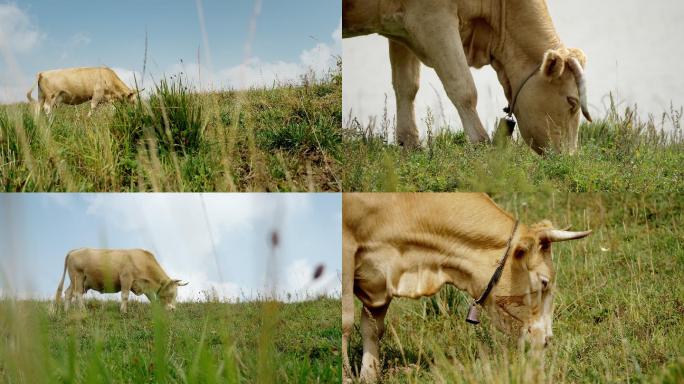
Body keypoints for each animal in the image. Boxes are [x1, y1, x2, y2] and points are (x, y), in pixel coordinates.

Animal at [53, 248, 188, 314]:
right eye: (170, 293)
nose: (173, 309)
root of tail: (75, 250)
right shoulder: (126, 278)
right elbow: (125, 296)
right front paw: (123, 311)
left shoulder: (145, 285)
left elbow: (152, 299)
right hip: (78, 276)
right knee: (78, 294)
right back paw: (83, 310)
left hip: (75, 280)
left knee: (68, 293)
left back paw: (66, 311)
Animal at [342, 1, 592, 154]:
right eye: (572, 102)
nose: (569, 158)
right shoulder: (433, 19)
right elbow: (463, 87)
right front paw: (481, 144)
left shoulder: (399, 28)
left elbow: (406, 86)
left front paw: (410, 144)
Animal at [342, 194, 592, 382]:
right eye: (544, 281)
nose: (547, 339)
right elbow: (346, 324)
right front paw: (345, 375)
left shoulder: (384, 278)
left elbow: (372, 328)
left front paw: (368, 376)